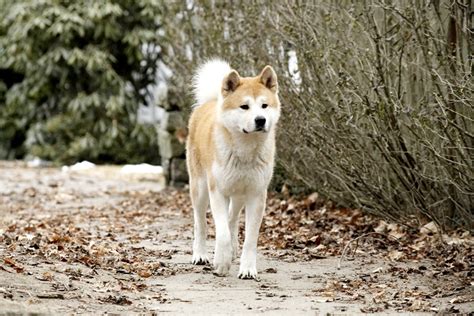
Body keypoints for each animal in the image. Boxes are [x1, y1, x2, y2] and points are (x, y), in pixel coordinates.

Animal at [186, 59, 282, 278]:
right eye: (244, 107)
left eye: (264, 105)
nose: (260, 120)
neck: (245, 150)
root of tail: (211, 102)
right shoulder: (217, 191)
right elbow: (221, 233)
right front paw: (221, 262)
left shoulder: (256, 194)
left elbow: (250, 239)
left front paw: (247, 268)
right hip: (200, 188)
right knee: (200, 223)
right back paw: (200, 254)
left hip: (239, 194)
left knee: (232, 218)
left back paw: (233, 249)